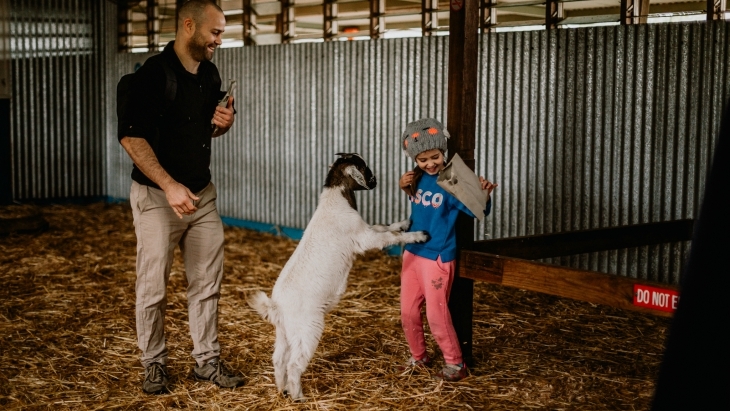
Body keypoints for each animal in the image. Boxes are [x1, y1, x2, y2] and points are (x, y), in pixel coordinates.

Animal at [247, 153, 426, 400]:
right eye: (364, 167)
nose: (375, 181)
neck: (335, 200)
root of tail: (276, 307)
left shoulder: (364, 229)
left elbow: (383, 226)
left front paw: (404, 223)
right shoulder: (363, 238)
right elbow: (388, 236)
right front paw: (417, 235)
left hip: (284, 332)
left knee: (279, 359)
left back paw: (282, 389)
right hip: (308, 328)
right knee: (294, 364)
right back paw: (298, 396)